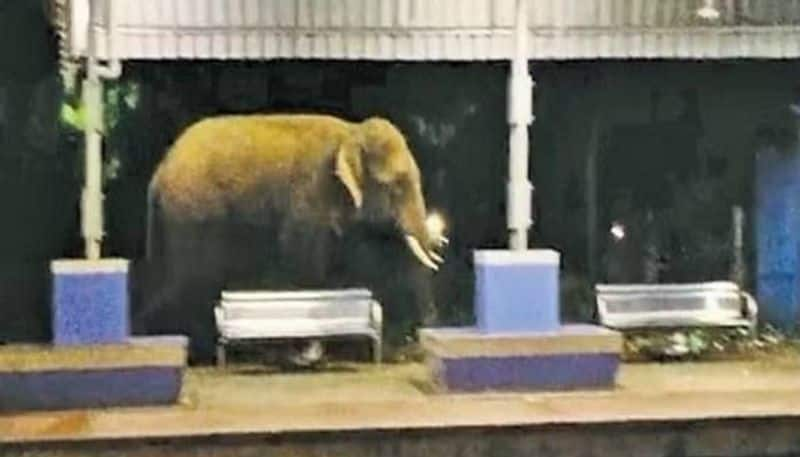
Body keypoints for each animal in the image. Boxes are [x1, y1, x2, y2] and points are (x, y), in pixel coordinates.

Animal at [138, 114, 450, 364]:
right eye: (395, 185)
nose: (417, 346)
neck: (352, 132)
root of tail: (159, 172)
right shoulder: (309, 200)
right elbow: (306, 267)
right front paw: (308, 355)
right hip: (192, 217)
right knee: (193, 281)